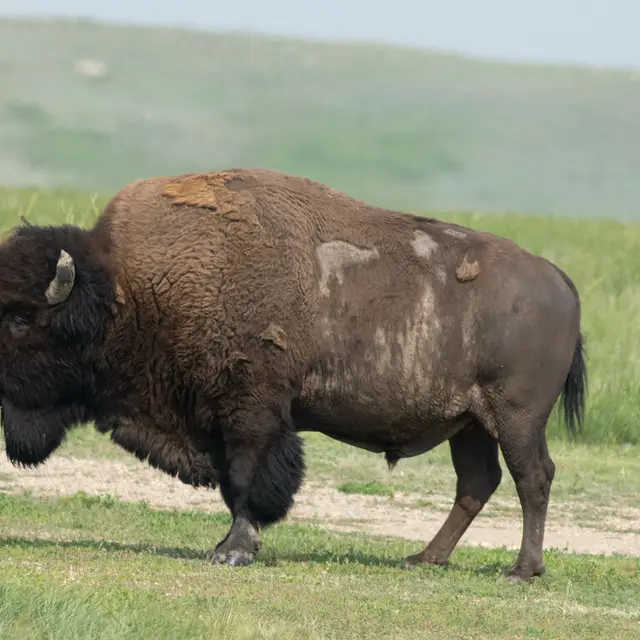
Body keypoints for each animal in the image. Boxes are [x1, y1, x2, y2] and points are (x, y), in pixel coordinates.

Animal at [0, 168, 586, 582]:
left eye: (20, 319)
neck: (129, 292)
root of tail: (558, 279)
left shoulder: (252, 411)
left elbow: (247, 479)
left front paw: (234, 552)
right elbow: (234, 483)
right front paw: (226, 546)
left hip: (515, 418)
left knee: (533, 478)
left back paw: (521, 571)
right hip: (469, 424)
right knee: (477, 483)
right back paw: (423, 559)